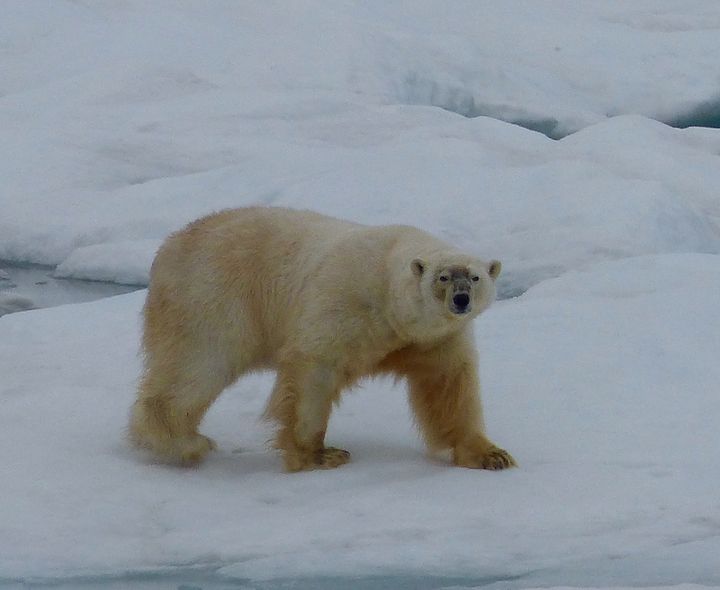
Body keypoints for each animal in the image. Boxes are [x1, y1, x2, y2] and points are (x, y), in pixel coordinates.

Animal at [128, 206, 512, 474]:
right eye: (443, 277)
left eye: (475, 277)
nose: (460, 300)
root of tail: (170, 246)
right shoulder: (345, 302)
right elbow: (314, 370)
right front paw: (320, 455)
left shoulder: (435, 338)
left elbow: (450, 385)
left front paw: (490, 455)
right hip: (213, 297)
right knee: (198, 364)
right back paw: (183, 443)